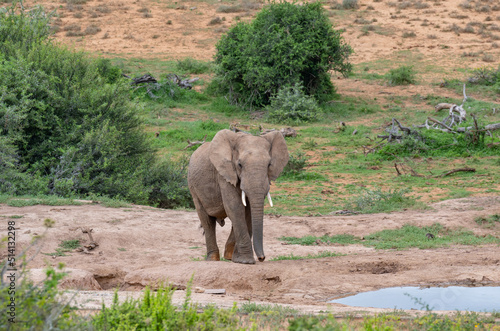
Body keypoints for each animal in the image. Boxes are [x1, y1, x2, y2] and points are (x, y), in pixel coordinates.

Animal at [188, 129, 290, 264]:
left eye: (269, 164)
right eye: (240, 164)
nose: (262, 258)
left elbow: (248, 211)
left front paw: (239, 259)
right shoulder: (224, 173)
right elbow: (235, 207)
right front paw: (246, 261)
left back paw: (229, 256)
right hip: (193, 187)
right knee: (207, 221)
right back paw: (213, 259)